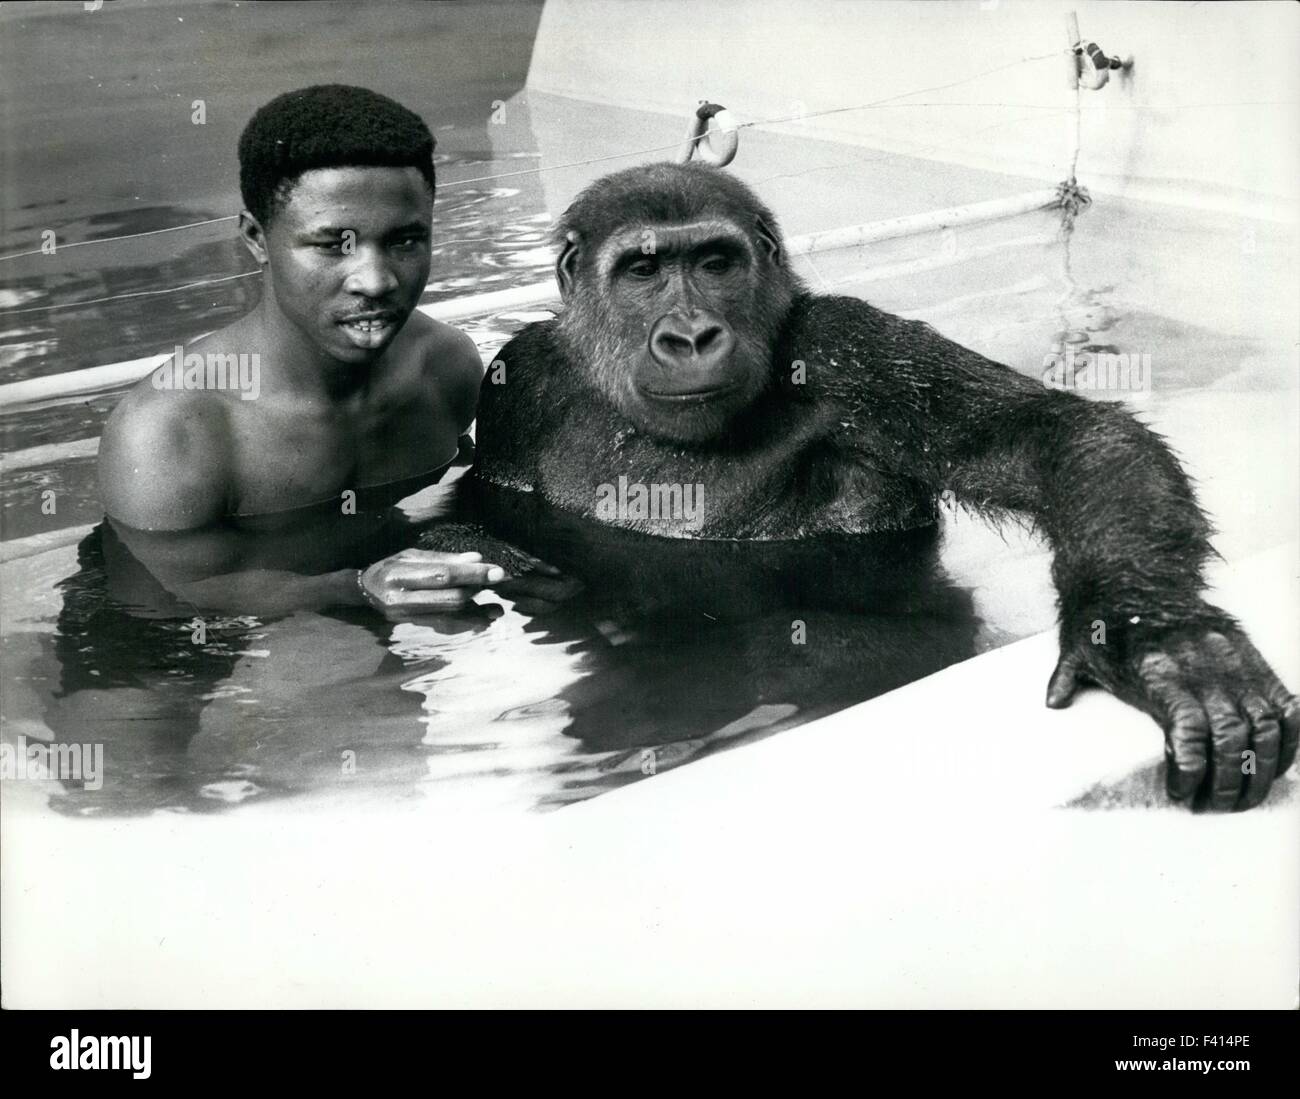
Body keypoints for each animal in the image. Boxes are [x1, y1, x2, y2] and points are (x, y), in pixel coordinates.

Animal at [437, 160, 1297, 811]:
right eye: (643, 270)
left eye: (715, 264)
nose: (690, 335)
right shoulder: (517, 380)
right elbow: (484, 503)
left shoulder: (849, 345)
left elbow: (1048, 434)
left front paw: (1155, 636)